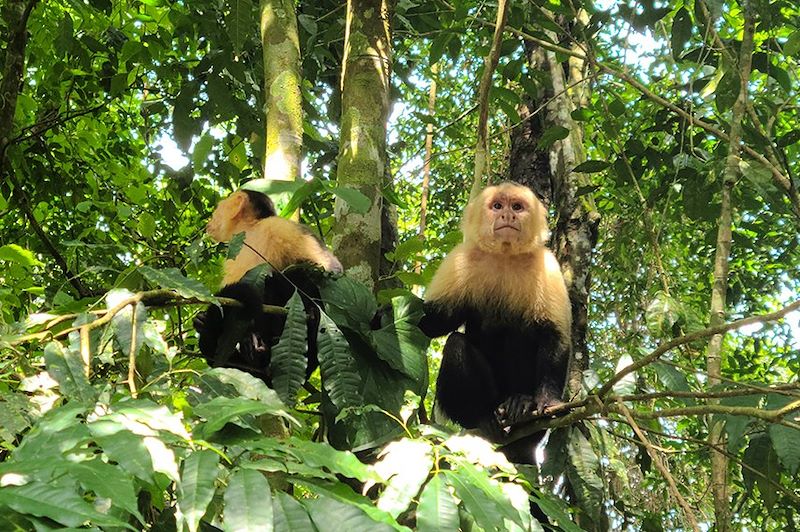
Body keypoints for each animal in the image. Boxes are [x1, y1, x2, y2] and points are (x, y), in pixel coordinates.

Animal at [197, 190, 344, 386]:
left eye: (218, 208)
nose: (210, 220)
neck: (251, 230)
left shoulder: (278, 225)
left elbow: (329, 269)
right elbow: (227, 301)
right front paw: (205, 321)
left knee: (287, 278)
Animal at [416, 182, 572, 462]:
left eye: (517, 207)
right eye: (497, 206)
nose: (507, 215)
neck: (504, 255)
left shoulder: (547, 265)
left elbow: (554, 335)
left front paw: (549, 401)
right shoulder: (459, 260)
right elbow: (435, 322)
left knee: (521, 333)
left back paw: (521, 404)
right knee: (456, 344)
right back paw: (482, 417)